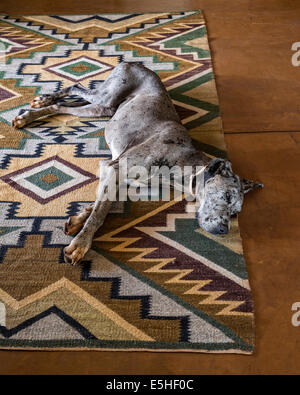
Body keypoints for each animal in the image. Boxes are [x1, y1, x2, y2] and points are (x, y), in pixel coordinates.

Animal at [12, 62, 262, 266]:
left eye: (235, 213)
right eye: (226, 196)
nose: (223, 230)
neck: (182, 162)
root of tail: (135, 63)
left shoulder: (118, 175)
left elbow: (101, 204)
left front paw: (79, 220)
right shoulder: (115, 167)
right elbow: (100, 213)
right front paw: (81, 244)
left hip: (103, 109)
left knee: (64, 106)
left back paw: (41, 106)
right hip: (106, 98)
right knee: (75, 87)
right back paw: (36, 107)